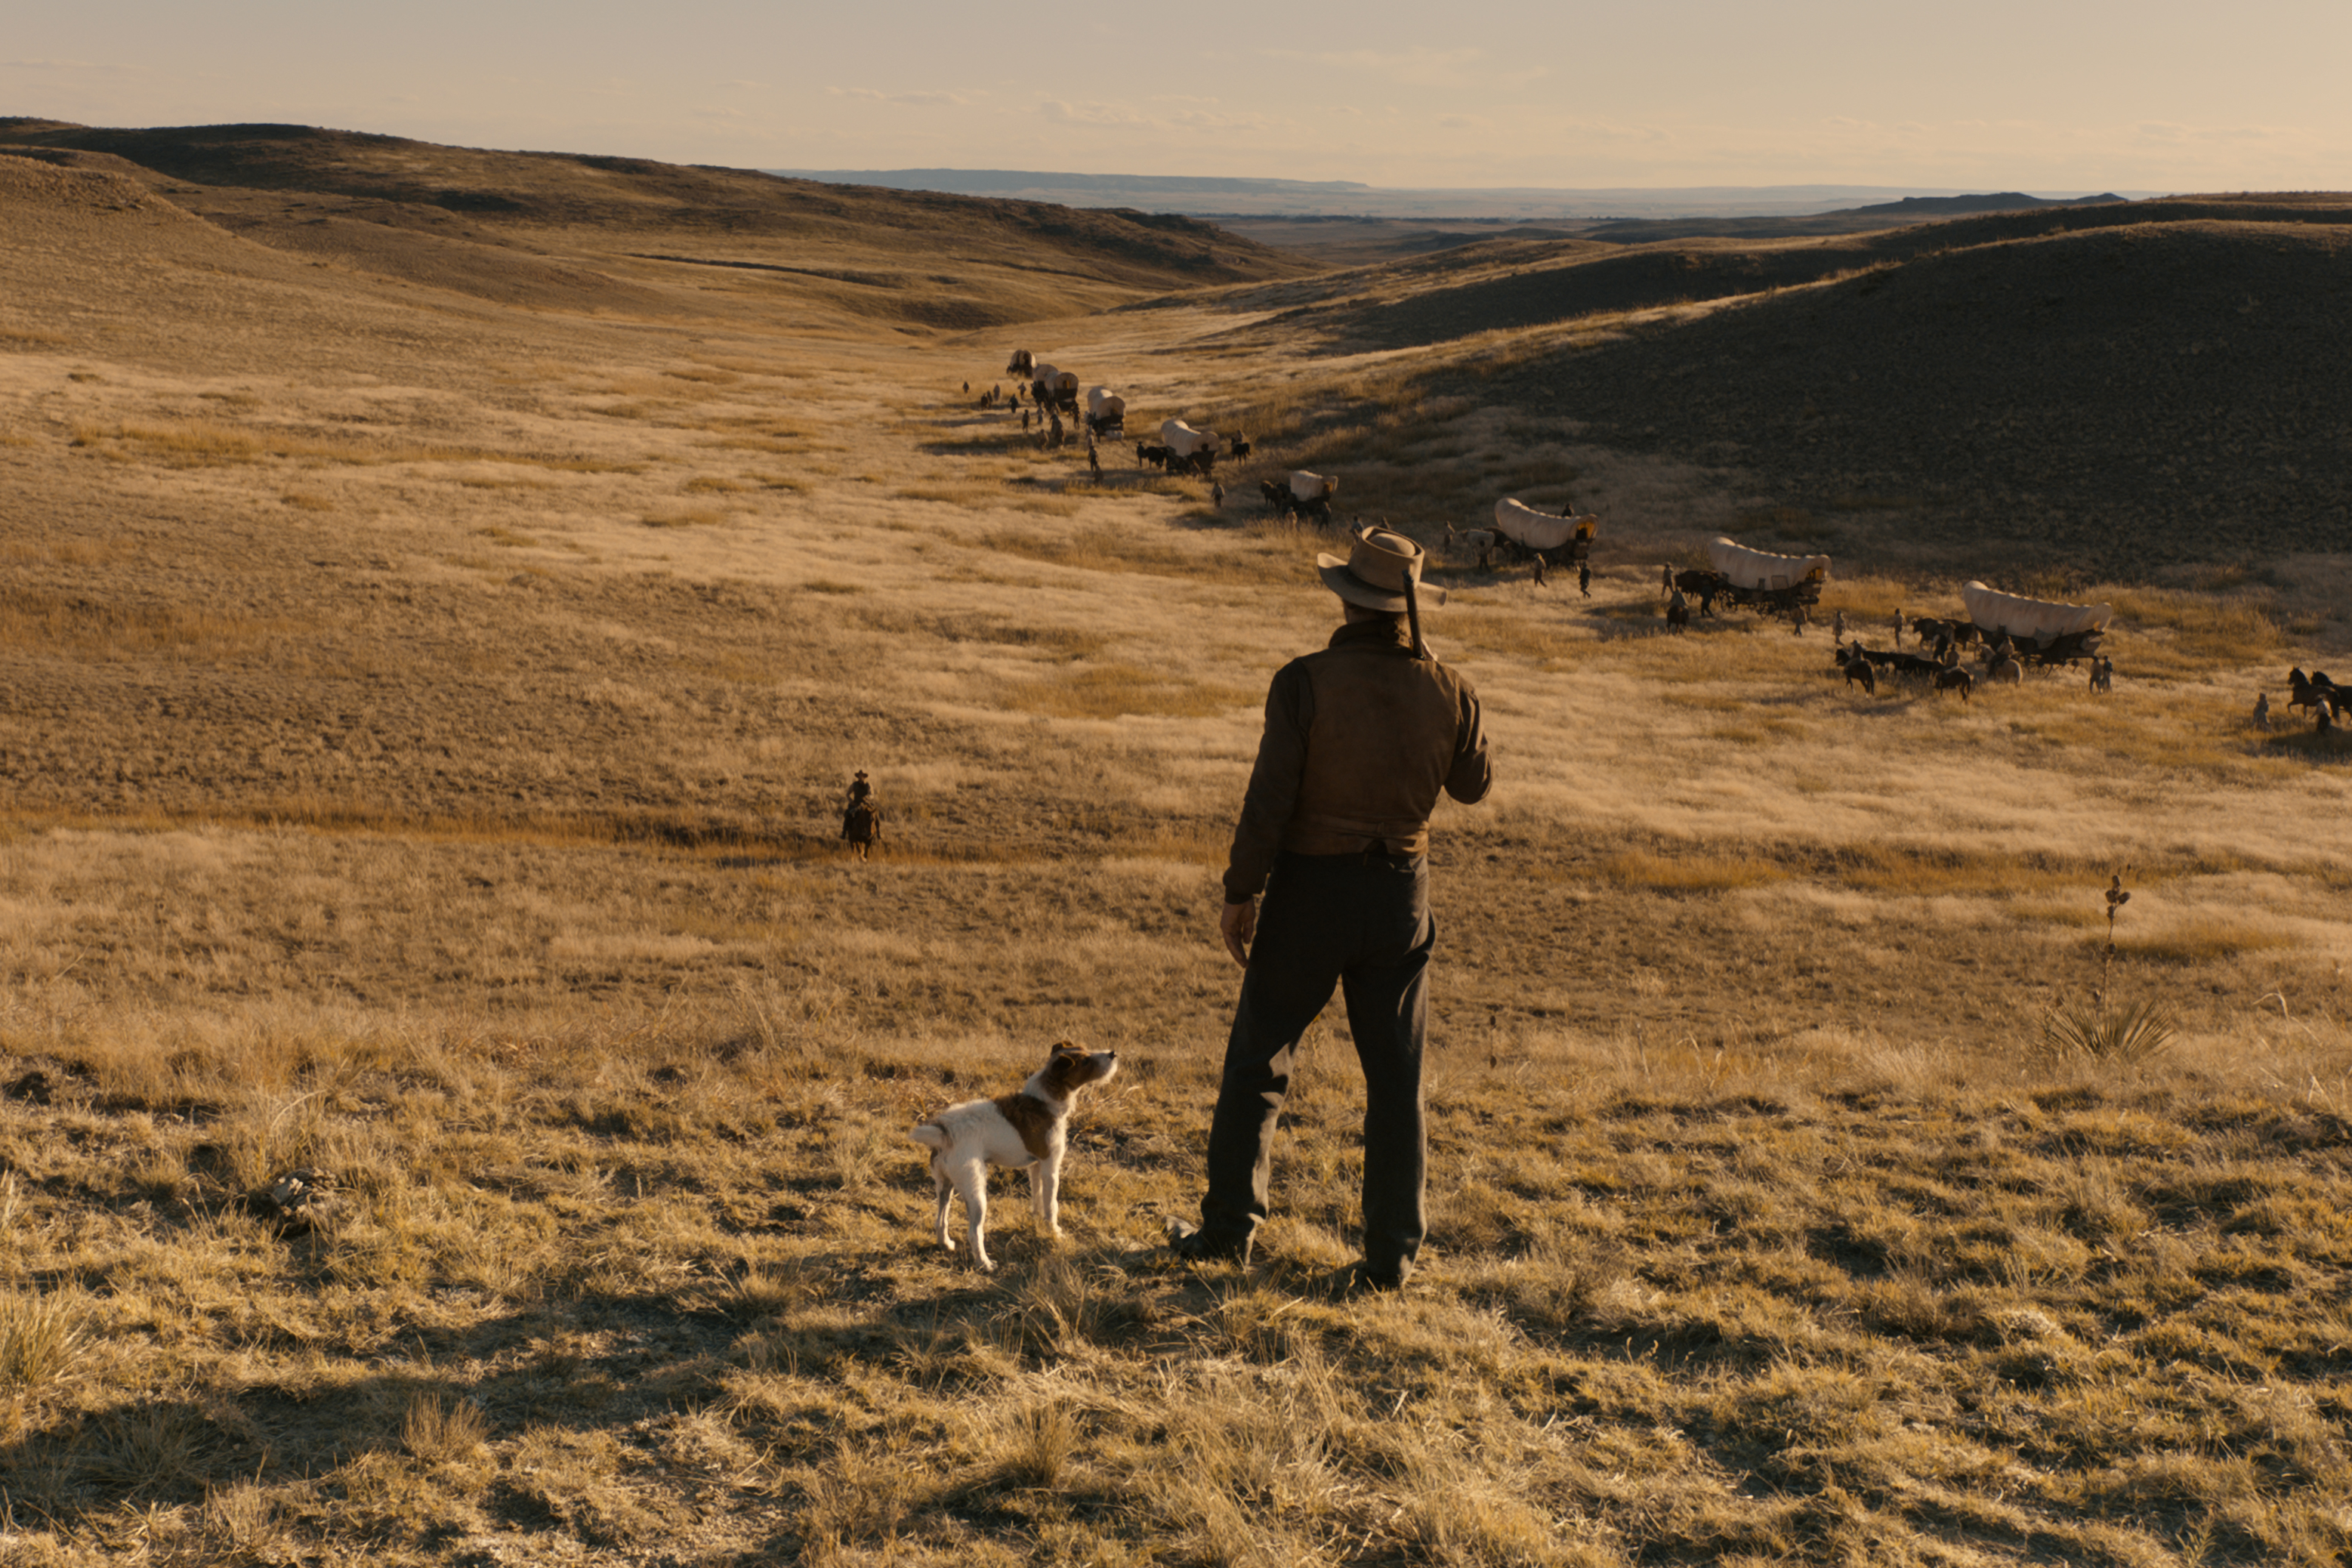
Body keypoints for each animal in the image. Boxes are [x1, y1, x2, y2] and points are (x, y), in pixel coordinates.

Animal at [903, 1043, 1115, 1279]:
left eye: (1086, 1050)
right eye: (1085, 1061)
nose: (1112, 1054)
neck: (1044, 1101)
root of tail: (944, 1131)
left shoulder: (1035, 1166)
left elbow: (1037, 1197)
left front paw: (1037, 1221)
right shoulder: (1050, 1167)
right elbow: (1052, 1205)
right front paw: (1055, 1232)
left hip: (944, 1186)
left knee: (941, 1219)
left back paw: (946, 1244)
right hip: (977, 1194)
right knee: (974, 1232)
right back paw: (984, 1264)